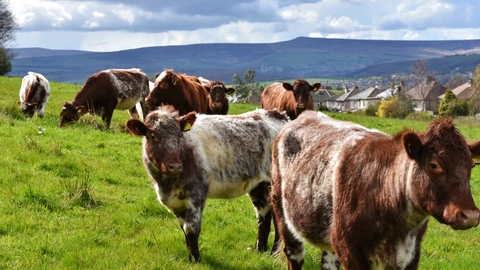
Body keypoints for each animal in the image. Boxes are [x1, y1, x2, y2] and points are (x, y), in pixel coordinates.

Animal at [125, 105, 286, 262]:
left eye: (179, 136)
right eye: (153, 136)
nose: (175, 166)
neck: (166, 184)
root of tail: (278, 114)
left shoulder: (197, 193)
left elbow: (191, 229)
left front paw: (195, 259)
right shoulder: (177, 201)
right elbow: (183, 228)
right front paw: (190, 255)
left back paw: (274, 253)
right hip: (258, 184)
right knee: (264, 213)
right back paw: (260, 249)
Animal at [270, 110, 480, 268]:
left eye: (471, 165)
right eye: (434, 165)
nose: (470, 215)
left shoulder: (412, 254)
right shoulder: (350, 252)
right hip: (283, 215)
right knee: (294, 256)